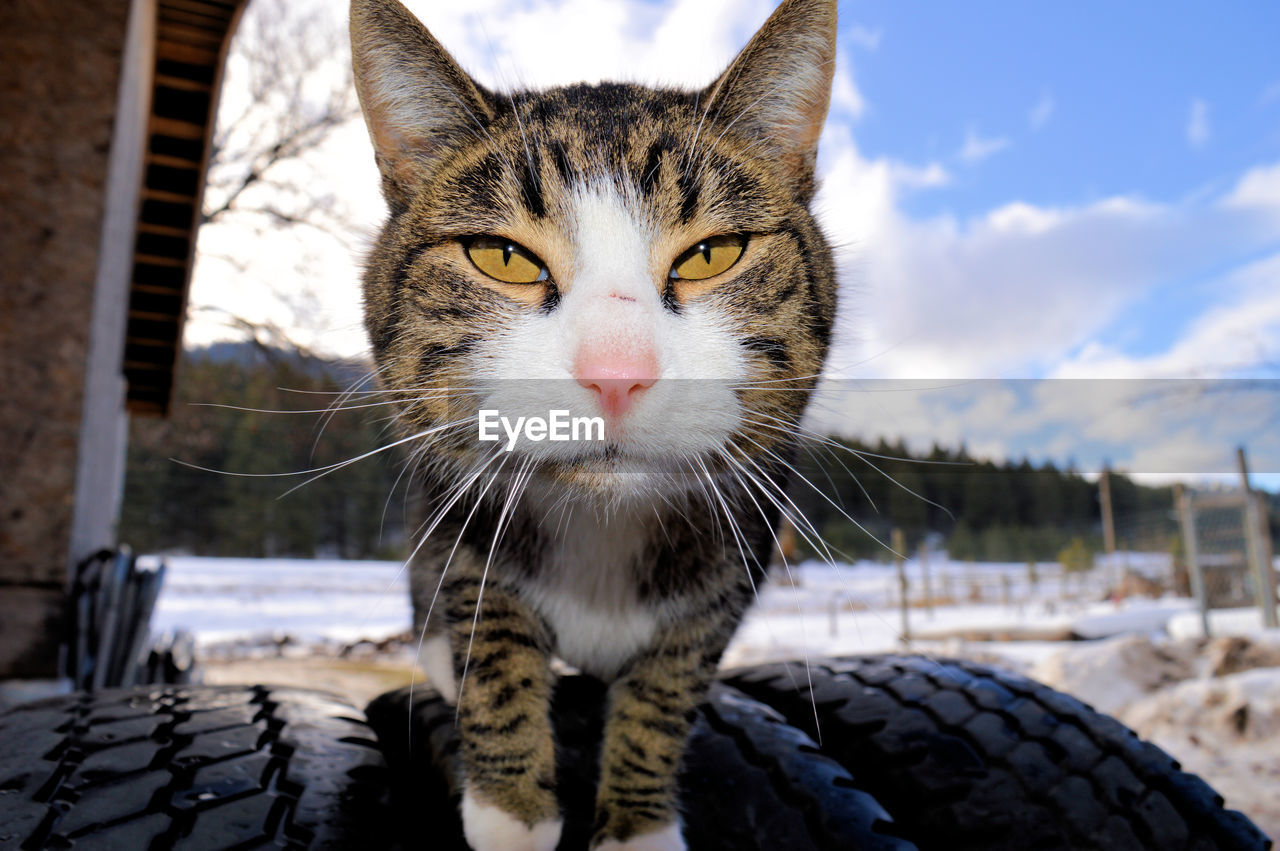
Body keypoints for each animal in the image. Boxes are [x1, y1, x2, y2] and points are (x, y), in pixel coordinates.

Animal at [350, 1, 839, 844]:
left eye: (714, 253)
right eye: (501, 256)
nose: (616, 370)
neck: (604, 526)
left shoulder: (744, 536)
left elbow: (671, 683)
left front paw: (638, 821)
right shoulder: (462, 508)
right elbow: (490, 631)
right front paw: (511, 808)